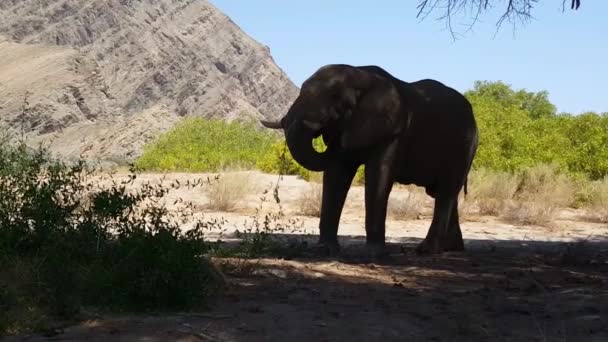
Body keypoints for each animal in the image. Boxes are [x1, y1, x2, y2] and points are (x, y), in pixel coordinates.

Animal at [258, 65, 478, 256]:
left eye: (337, 99)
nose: (326, 130)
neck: (361, 75)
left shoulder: (392, 131)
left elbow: (378, 176)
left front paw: (374, 254)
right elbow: (336, 175)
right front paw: (325, 250)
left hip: (464, 146)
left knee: (446, 192)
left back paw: (427, 251)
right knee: (444, 193)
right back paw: (452, 249)